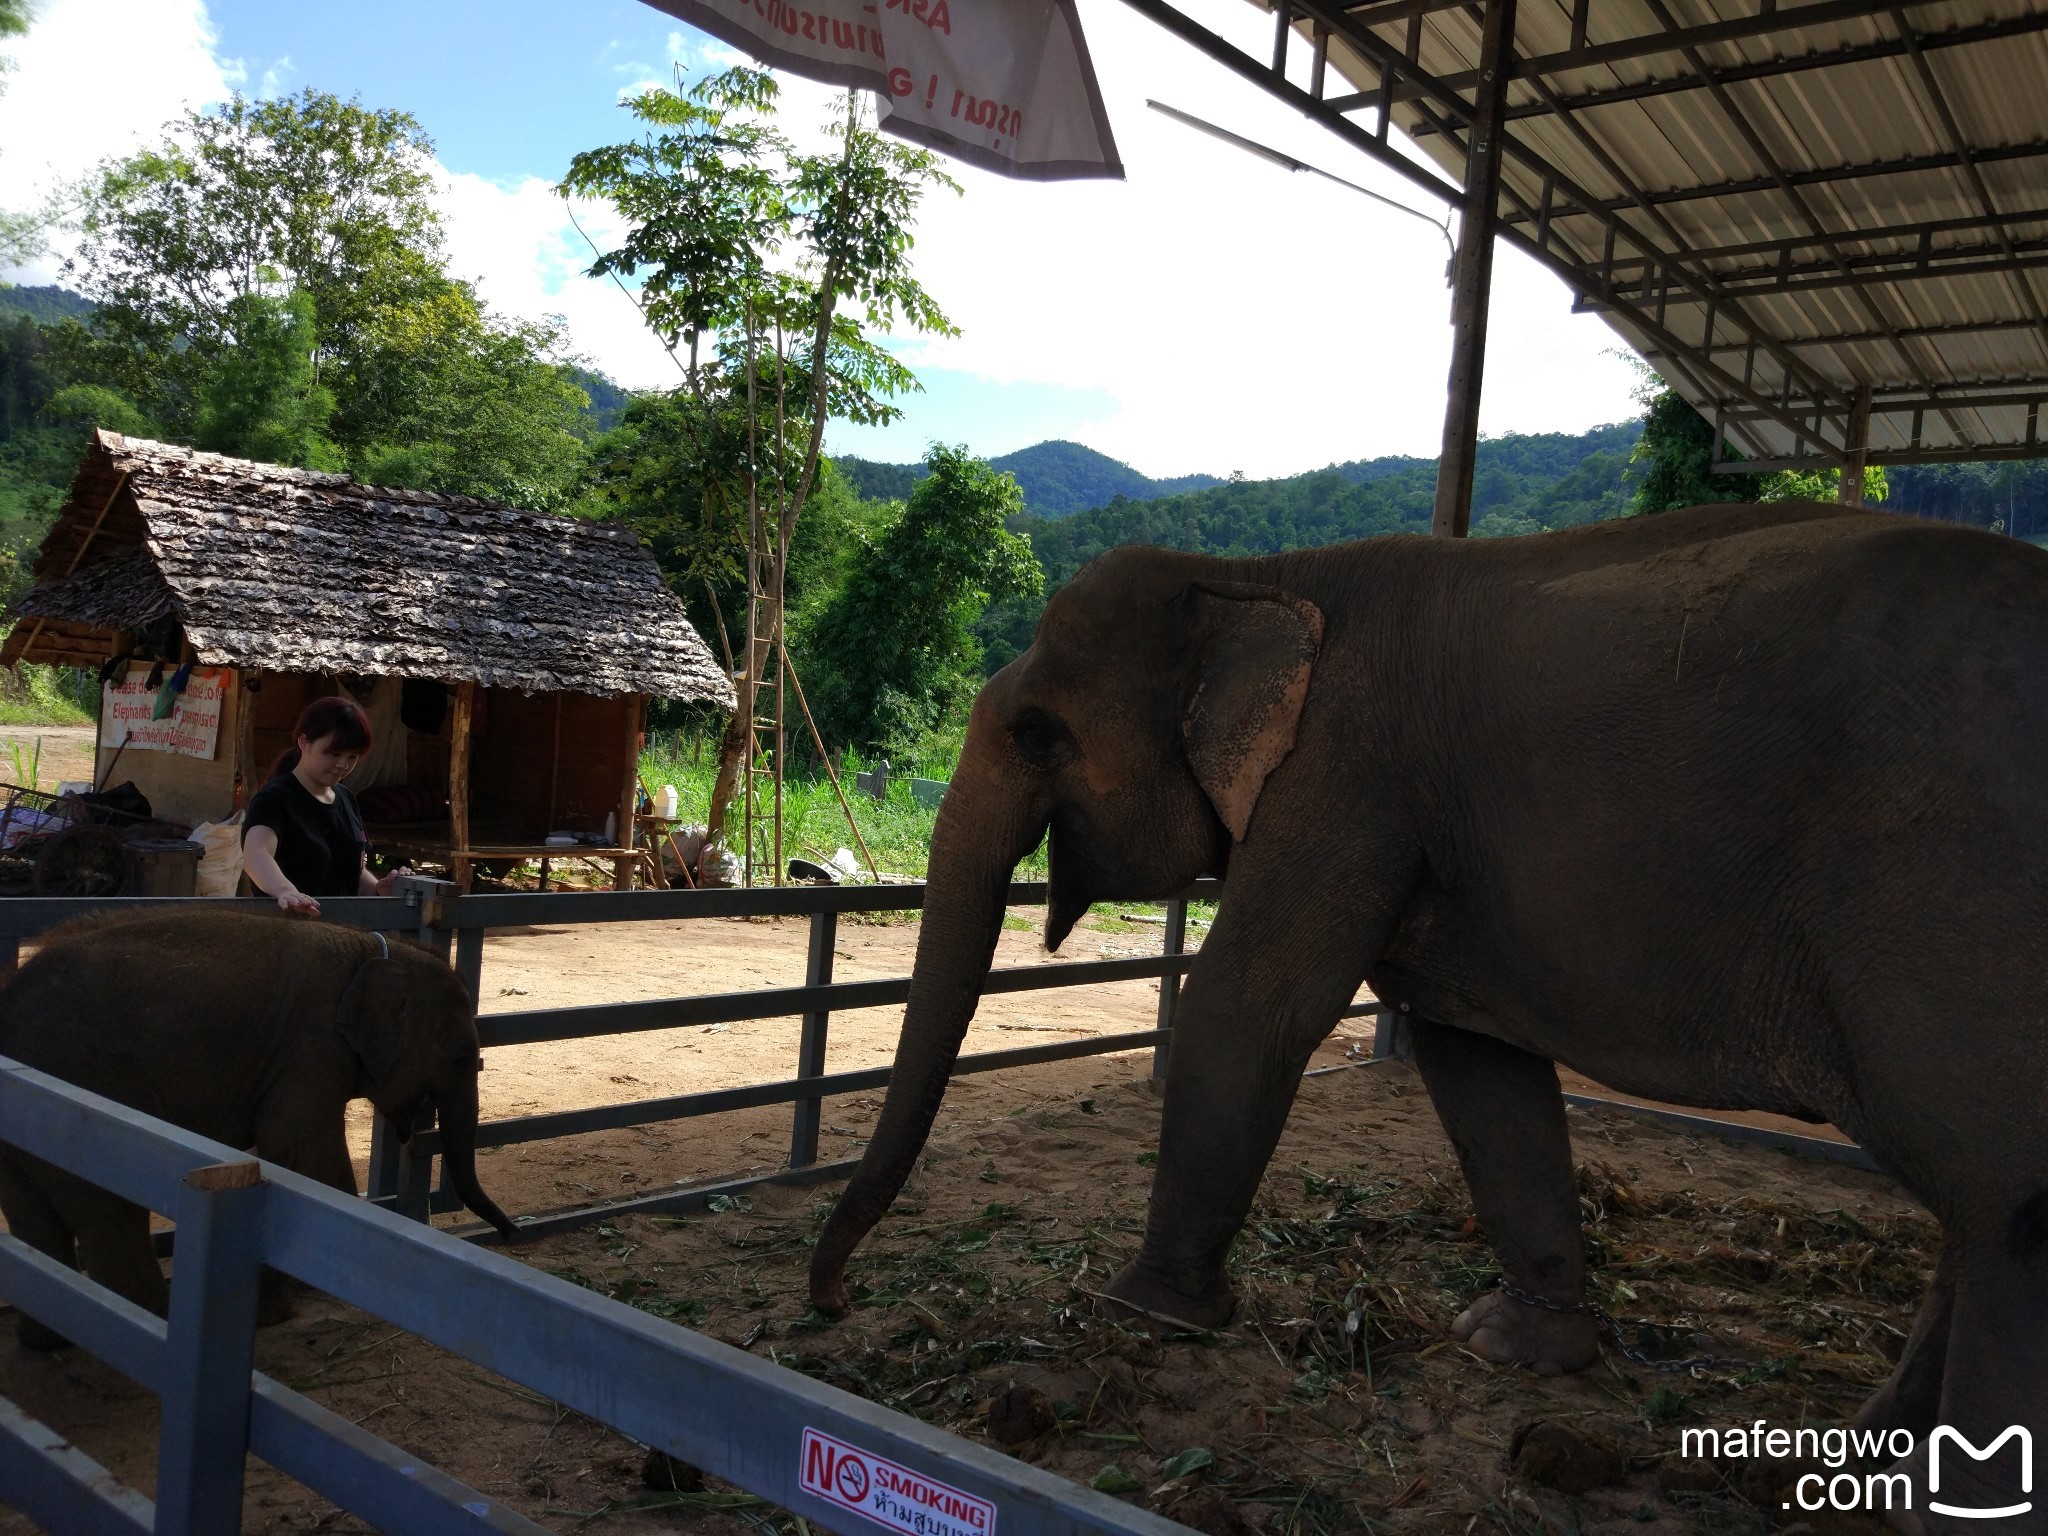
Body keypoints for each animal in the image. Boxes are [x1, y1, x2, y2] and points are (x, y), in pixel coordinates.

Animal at [0, 909, 520, 1343]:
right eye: (460, 1057)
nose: (512, 1235)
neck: (372, 949)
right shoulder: (310, 1046)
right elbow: (304, 1152)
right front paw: (287, 1307)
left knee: (33, 1216)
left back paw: (46, 1341)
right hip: (83, 1101)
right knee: (110, 1215)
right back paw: (152, 1322)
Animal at [811, 501, 2048, 1515]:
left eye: (1038, 733)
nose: (827, 1303)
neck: (1257, 579)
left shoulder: (1342, 774)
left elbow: (1247, 1005)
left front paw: (1140, 1316)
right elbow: (1474, 1060)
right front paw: (1510, 1351)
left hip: (1951, 892)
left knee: (2001, 1195)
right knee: (1976, 1201)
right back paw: (1854, 1470)